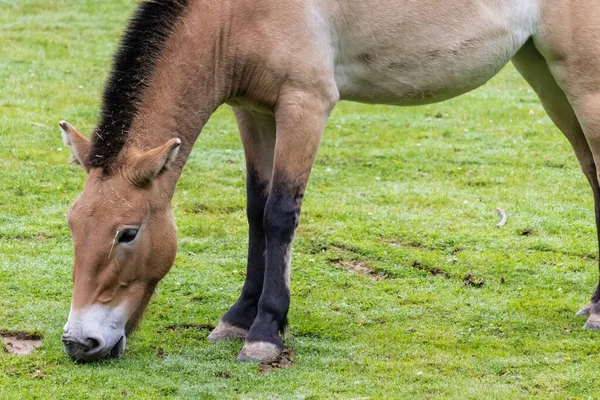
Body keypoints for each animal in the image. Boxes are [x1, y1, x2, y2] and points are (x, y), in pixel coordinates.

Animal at [61, 0, 600, 362]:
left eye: (128, 233)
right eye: (72, 225)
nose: (79, 342)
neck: (235, 14)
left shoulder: (305, 105)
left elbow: (281, 215)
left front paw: (265, 333)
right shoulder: (253, 112)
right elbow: (256, 213)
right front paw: (237, 318)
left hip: (583, 86)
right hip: (548, 78)